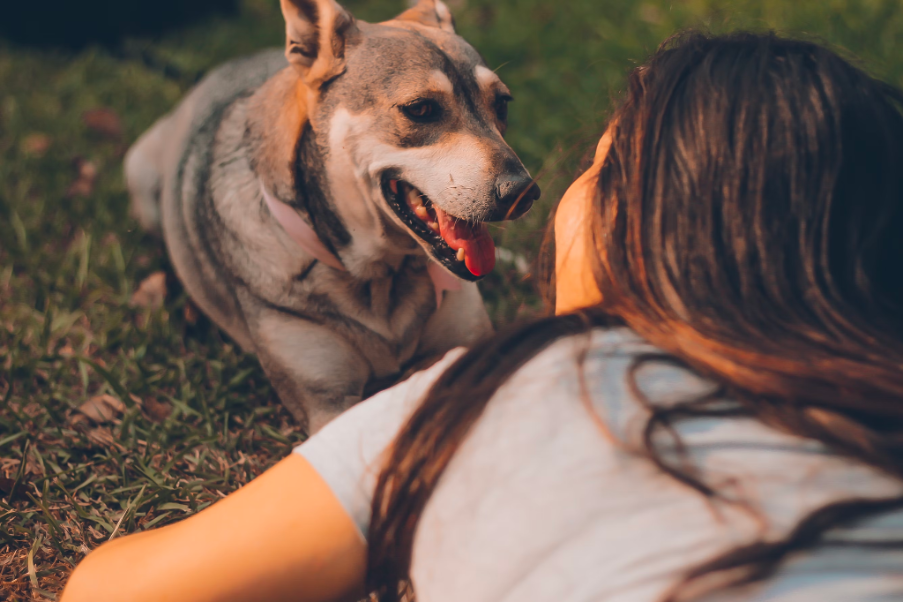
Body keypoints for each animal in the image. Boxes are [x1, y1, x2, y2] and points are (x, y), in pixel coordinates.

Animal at [123, 0, 540, 432]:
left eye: (502, 104)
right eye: (420, 109)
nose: (523, 193)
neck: (379, 276)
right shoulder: (326, 399)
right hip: (139, 170)